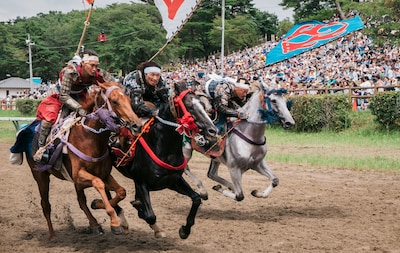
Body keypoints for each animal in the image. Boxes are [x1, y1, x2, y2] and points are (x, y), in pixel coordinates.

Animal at [24, 81, 141, 241]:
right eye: (115, 101)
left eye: (129, 100)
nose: (137, 125)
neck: (90, 138)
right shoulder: (79, 175)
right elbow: (98, 183)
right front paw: (115, 222)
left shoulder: (103, 175)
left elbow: (121, 191)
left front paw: (97, 203)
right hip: (40, 176)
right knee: (45, 204)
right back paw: (52, 235)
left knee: (80, 201)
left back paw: (94, 224)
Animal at [99, 81, 219, 239]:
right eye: (189, 106)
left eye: (203, 105)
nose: (213, 130)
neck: (164, 149)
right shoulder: (141, 183)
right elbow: (150, 215)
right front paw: (140, 208)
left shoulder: (172, 181)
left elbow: (196, 199)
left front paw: (184, 230)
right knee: (107, 193)